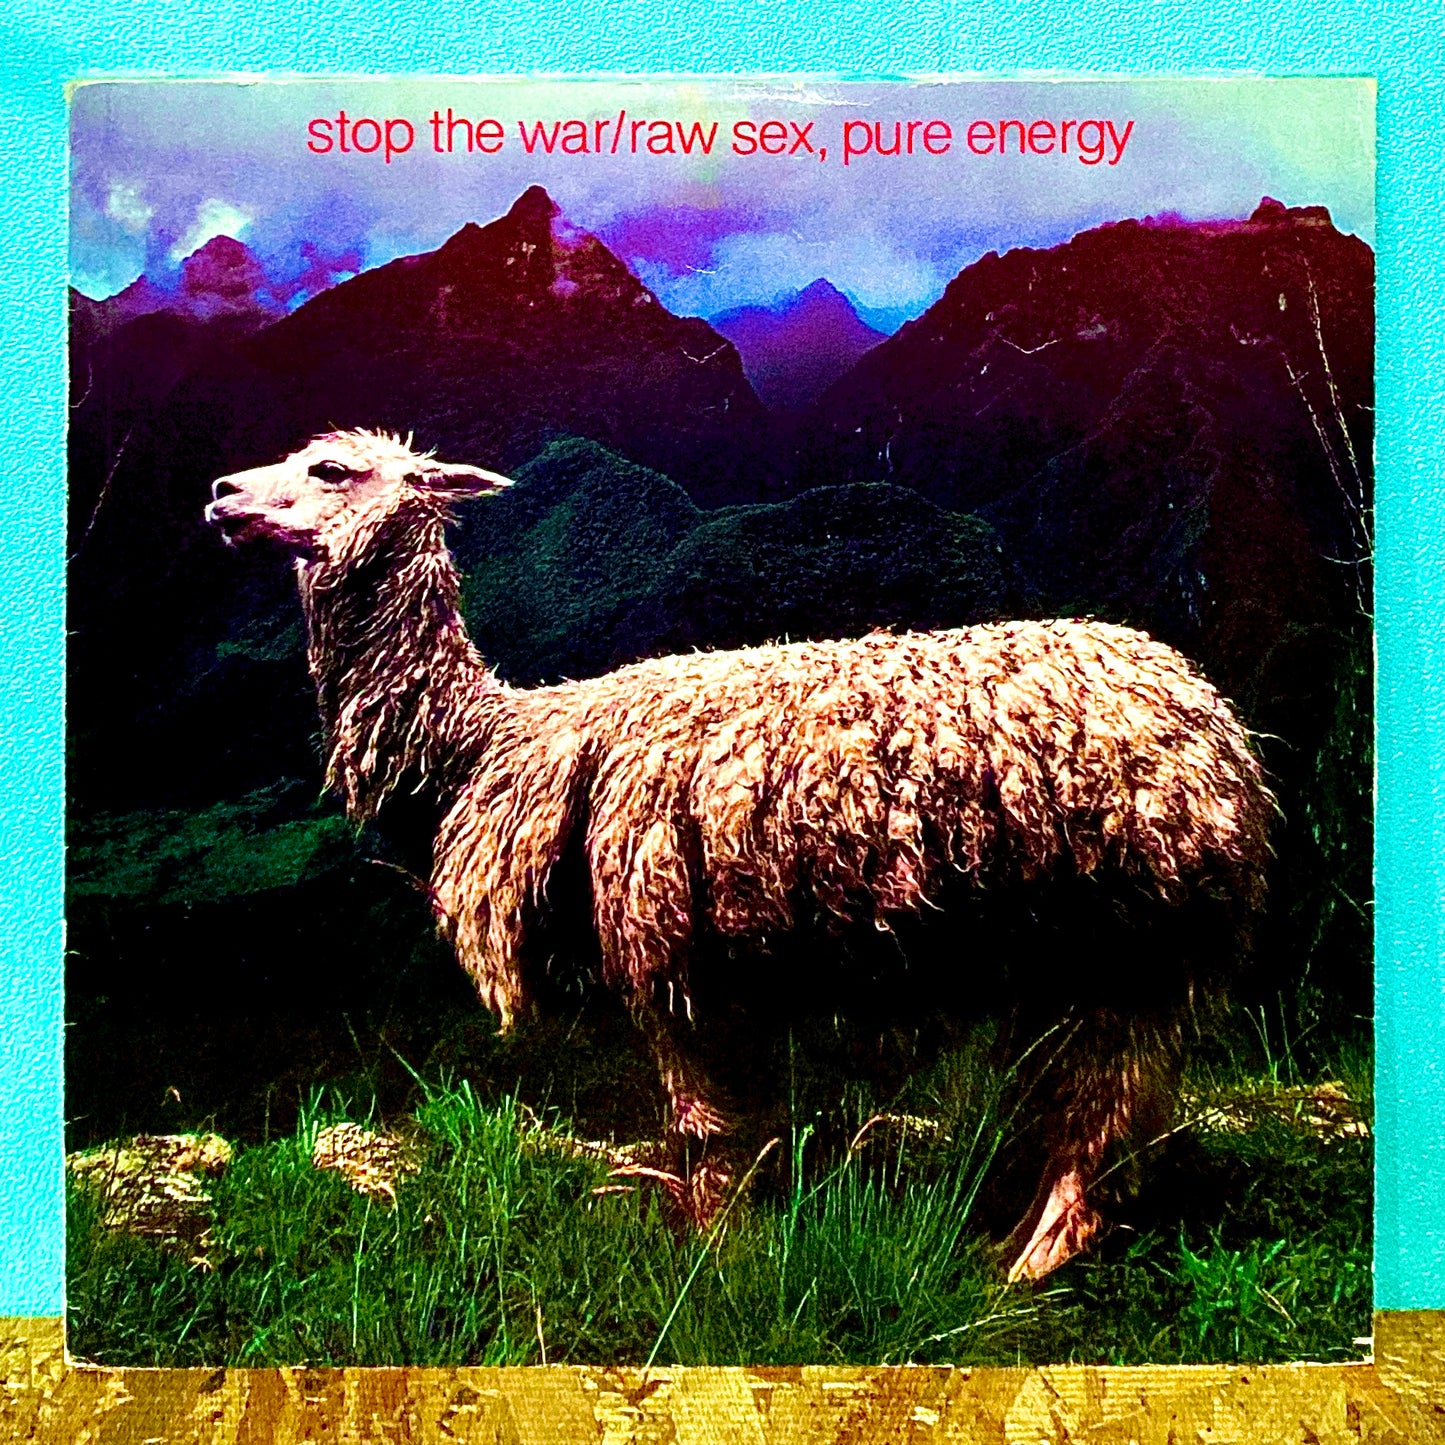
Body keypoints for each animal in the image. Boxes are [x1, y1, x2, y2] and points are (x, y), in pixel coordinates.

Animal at [205, 428, 1273, 1282]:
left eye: (331, 469)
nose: (220, 493)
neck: (490, 741)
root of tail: (1214, 720)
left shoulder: (663, 953)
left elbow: (703, 1130)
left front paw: (717, 1255)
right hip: (1071, 945)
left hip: (1139, 932)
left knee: (1108, 1102)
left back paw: (1035, 1257)